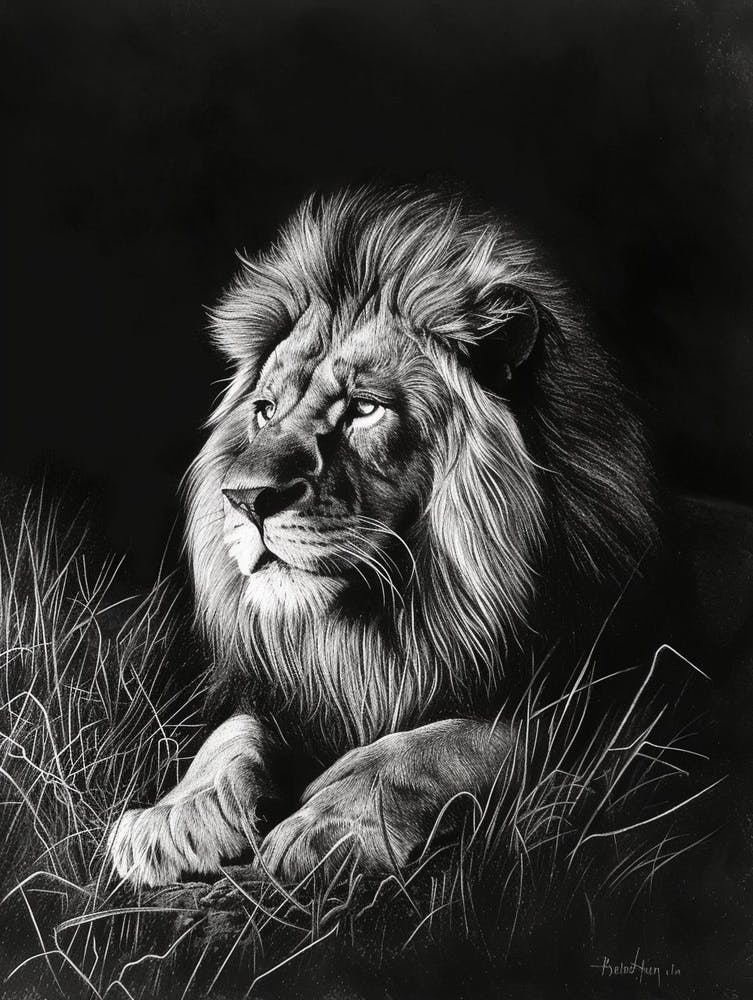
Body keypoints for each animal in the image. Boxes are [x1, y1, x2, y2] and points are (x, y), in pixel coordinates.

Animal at [108, 185, 657, 888]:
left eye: (365, 408)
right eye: (264, 410)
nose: (246, 499)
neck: (382, 625)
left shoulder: (583, 705)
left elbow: (442, 742)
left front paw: (326, 823)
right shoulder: (283, 690)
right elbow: (229, 736)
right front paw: (170, 817)